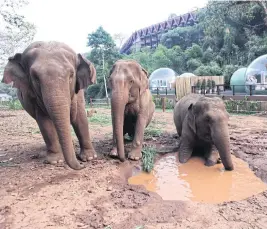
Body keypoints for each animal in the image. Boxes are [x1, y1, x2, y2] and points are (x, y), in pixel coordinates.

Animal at [1, 40, 98, 170]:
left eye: (71, 75)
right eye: (35, 77)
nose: (82, 166)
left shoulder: (78, 93)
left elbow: (80, 118)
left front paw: (90, 158)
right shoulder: (34, 98)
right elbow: (45, 122)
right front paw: (55, 161)